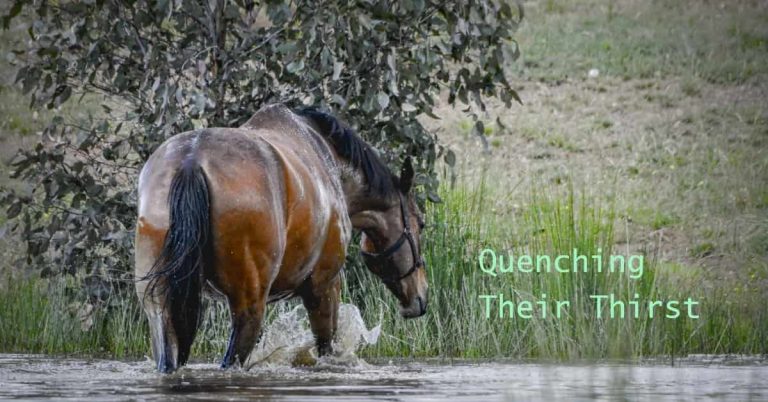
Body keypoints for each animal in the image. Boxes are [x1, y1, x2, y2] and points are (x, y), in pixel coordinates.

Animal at [134, 104, 428, 373]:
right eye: (422, 224)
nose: (420, 298)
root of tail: (192, 161)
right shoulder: (324, 288)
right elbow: (326, 348)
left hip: (159, 307)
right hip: (249, 307)